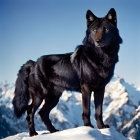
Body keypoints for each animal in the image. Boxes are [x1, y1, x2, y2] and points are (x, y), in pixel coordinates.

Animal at [12, 8, 121, 136]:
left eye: (106, 29)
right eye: (94, 30)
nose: (98, 41)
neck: (101, 56)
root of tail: (33, 63)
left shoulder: (100, 89)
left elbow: (99, 112)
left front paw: (102, 127)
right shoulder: (86, 89)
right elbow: (87, 111)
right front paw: (88, 127)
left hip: (54, 97)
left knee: (43, 113)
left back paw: (53, 131)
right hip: (40, 96)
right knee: (30, 111)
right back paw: (33, 133)